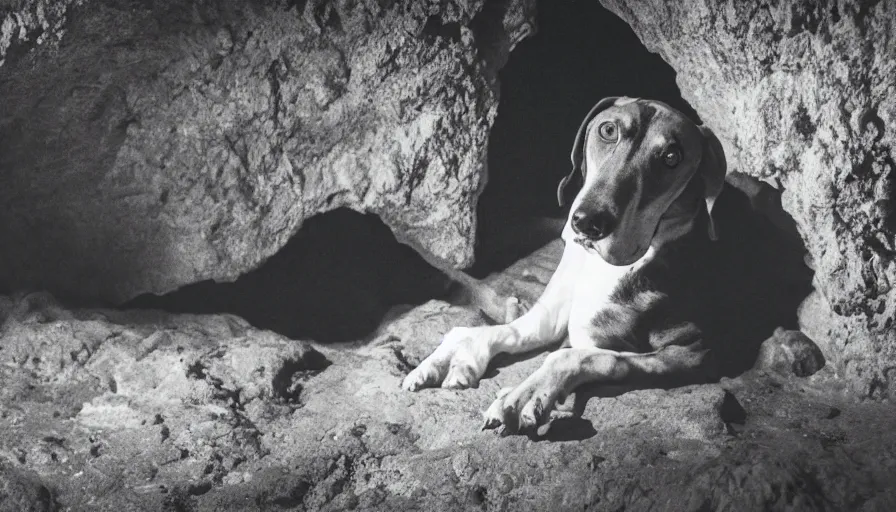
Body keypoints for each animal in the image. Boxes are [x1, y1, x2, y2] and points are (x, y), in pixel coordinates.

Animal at [404, 95, 736, 432]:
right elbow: (495, 330)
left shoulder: (695, 353)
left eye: (671, 157)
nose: (589, 222)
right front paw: (458, 354)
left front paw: (524, 395)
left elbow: (582, 357)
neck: (604, 267)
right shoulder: (551, 314)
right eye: (608, 130)